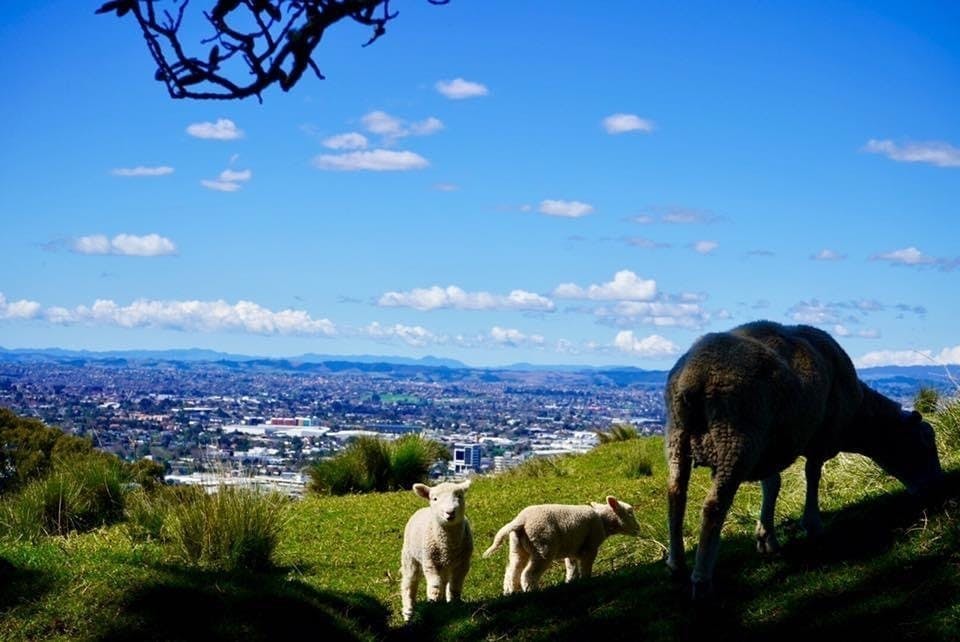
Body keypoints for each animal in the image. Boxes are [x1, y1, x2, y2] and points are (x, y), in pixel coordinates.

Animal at [400, 480, 473, 622]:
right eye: (435, 498)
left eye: (459, 496)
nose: (450, 512)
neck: (447, 546)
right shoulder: (430, 562)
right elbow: (435, 587)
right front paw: (434, 604)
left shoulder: (463, 563)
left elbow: (455, 585)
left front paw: (454, 605)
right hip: (410, 556)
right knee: (409, 583)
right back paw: (408, 613)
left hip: (444, 566)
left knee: (444, 581)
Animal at [483, 496, 640, 594]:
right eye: (630, 512)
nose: (638, 529)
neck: (603, 521)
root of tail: (521, 520)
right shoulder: (590, 547)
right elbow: (585, 566)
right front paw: (587, 580)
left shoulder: (573, 548)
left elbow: (571, 567)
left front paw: (570, 582)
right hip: (543, 546)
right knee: (528, 573)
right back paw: (532, 591)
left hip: (517, 547)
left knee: (512, 570)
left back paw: (510, 593)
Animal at [665, 320, 943, 598]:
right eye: (925, 443)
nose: (936, 487)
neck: (858, 419)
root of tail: (694, 376)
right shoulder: (821, 437)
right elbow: (813, 475)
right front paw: (812, 525)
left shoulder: (770, 447)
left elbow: (772, 485)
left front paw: (766, 537)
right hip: (735, 436)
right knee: (714, 506)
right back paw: (701, 580)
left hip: (679, 435)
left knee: (676, 494)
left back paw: (676, 563)